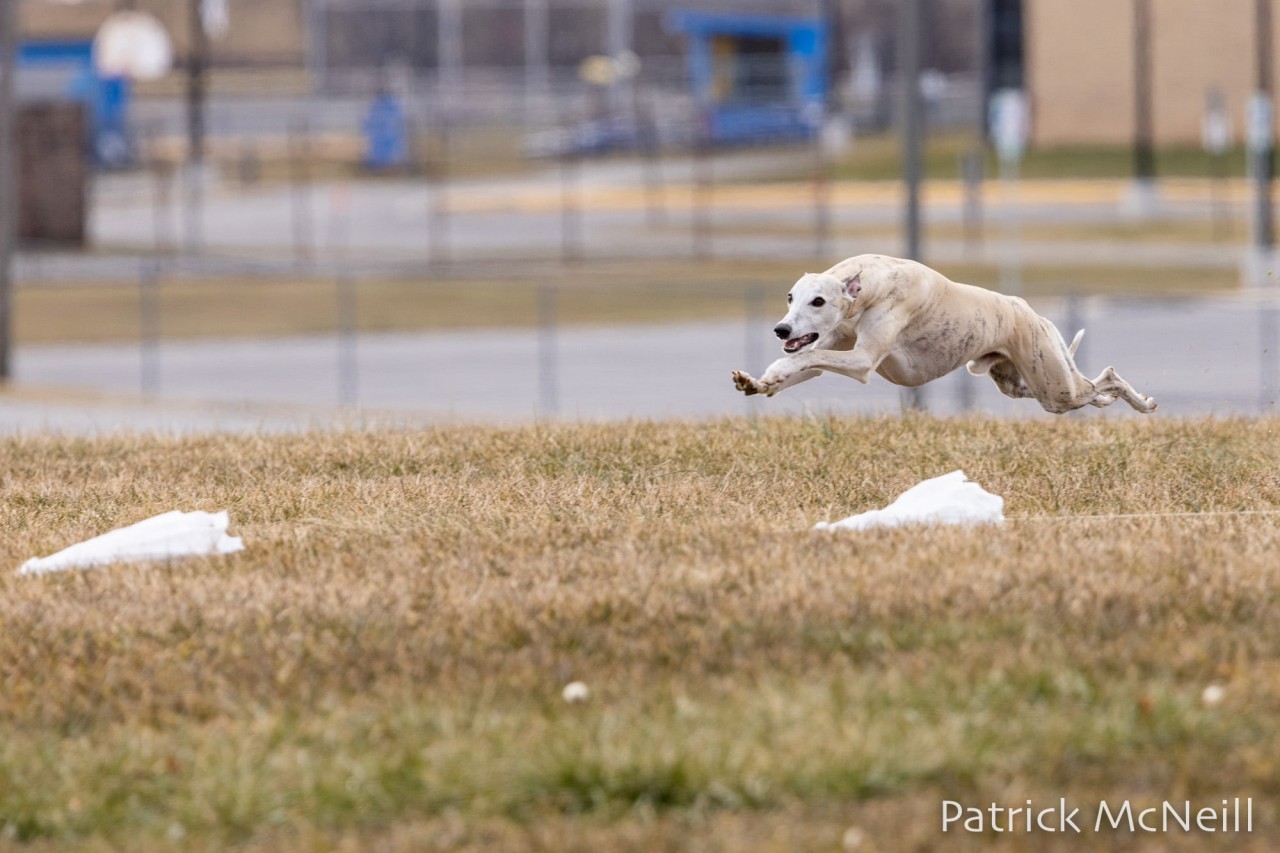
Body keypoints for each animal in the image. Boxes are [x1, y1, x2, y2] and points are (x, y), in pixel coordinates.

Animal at [732, 252, 1162, 412]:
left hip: (1055, 387)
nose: (781, 328)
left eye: (818, 301)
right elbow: (809, 361)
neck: (868, 285)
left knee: (1106, 376)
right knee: (1094, 388)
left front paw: (773, 370)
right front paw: (758, 382)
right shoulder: (835, 347)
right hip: (1020, 384)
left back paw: (1142, 402)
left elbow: (812, 355)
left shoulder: (862, 360)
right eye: (791, 296)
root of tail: (1030, 311)